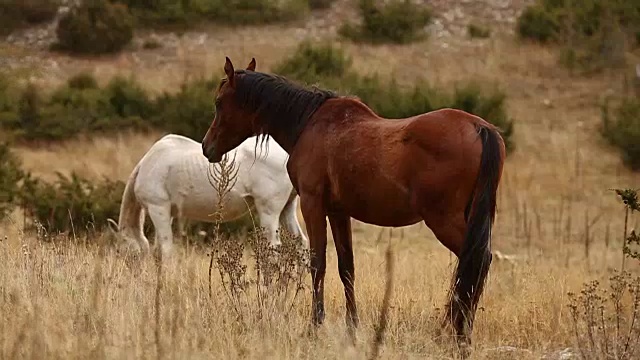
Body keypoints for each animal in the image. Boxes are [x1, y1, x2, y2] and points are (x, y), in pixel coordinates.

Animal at [106, 134, 308, 256]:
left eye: (123, 251)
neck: (148, 164)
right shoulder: (168, 213)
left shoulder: (158, 209)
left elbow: (165, 250)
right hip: (287, 209)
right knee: (302, 243)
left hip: (269, 212)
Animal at [202, 57, 508, 352]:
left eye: (218, 103)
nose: (207, 147)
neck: (309, 124)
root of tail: (479, 127)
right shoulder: (339, 213)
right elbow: (346, 267)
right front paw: (352, 329)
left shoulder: (313, 205)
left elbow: (318, 264)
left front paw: (314, 327)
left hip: (444, 220)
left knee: (477, 260)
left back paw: (460, 334)